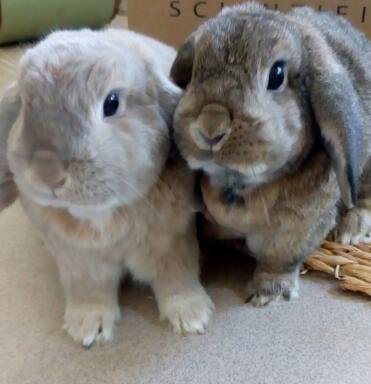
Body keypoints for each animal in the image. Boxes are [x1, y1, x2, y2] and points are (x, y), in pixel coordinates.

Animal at [0, 29, 214, 348]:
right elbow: (90, 293)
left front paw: (192, 317)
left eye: (111, 103)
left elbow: (178, 278)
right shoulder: (79, 262)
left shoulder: (172, 243)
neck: (100, 215)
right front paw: (87, 330)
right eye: (25, 106)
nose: (48, 174)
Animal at [171, 2, 371, 306]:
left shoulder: (295, 230)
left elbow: (279, 259)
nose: (211, 127)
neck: (236, 184)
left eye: (277, 75)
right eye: (193, 71)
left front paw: (268, 293)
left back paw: (350, 229)